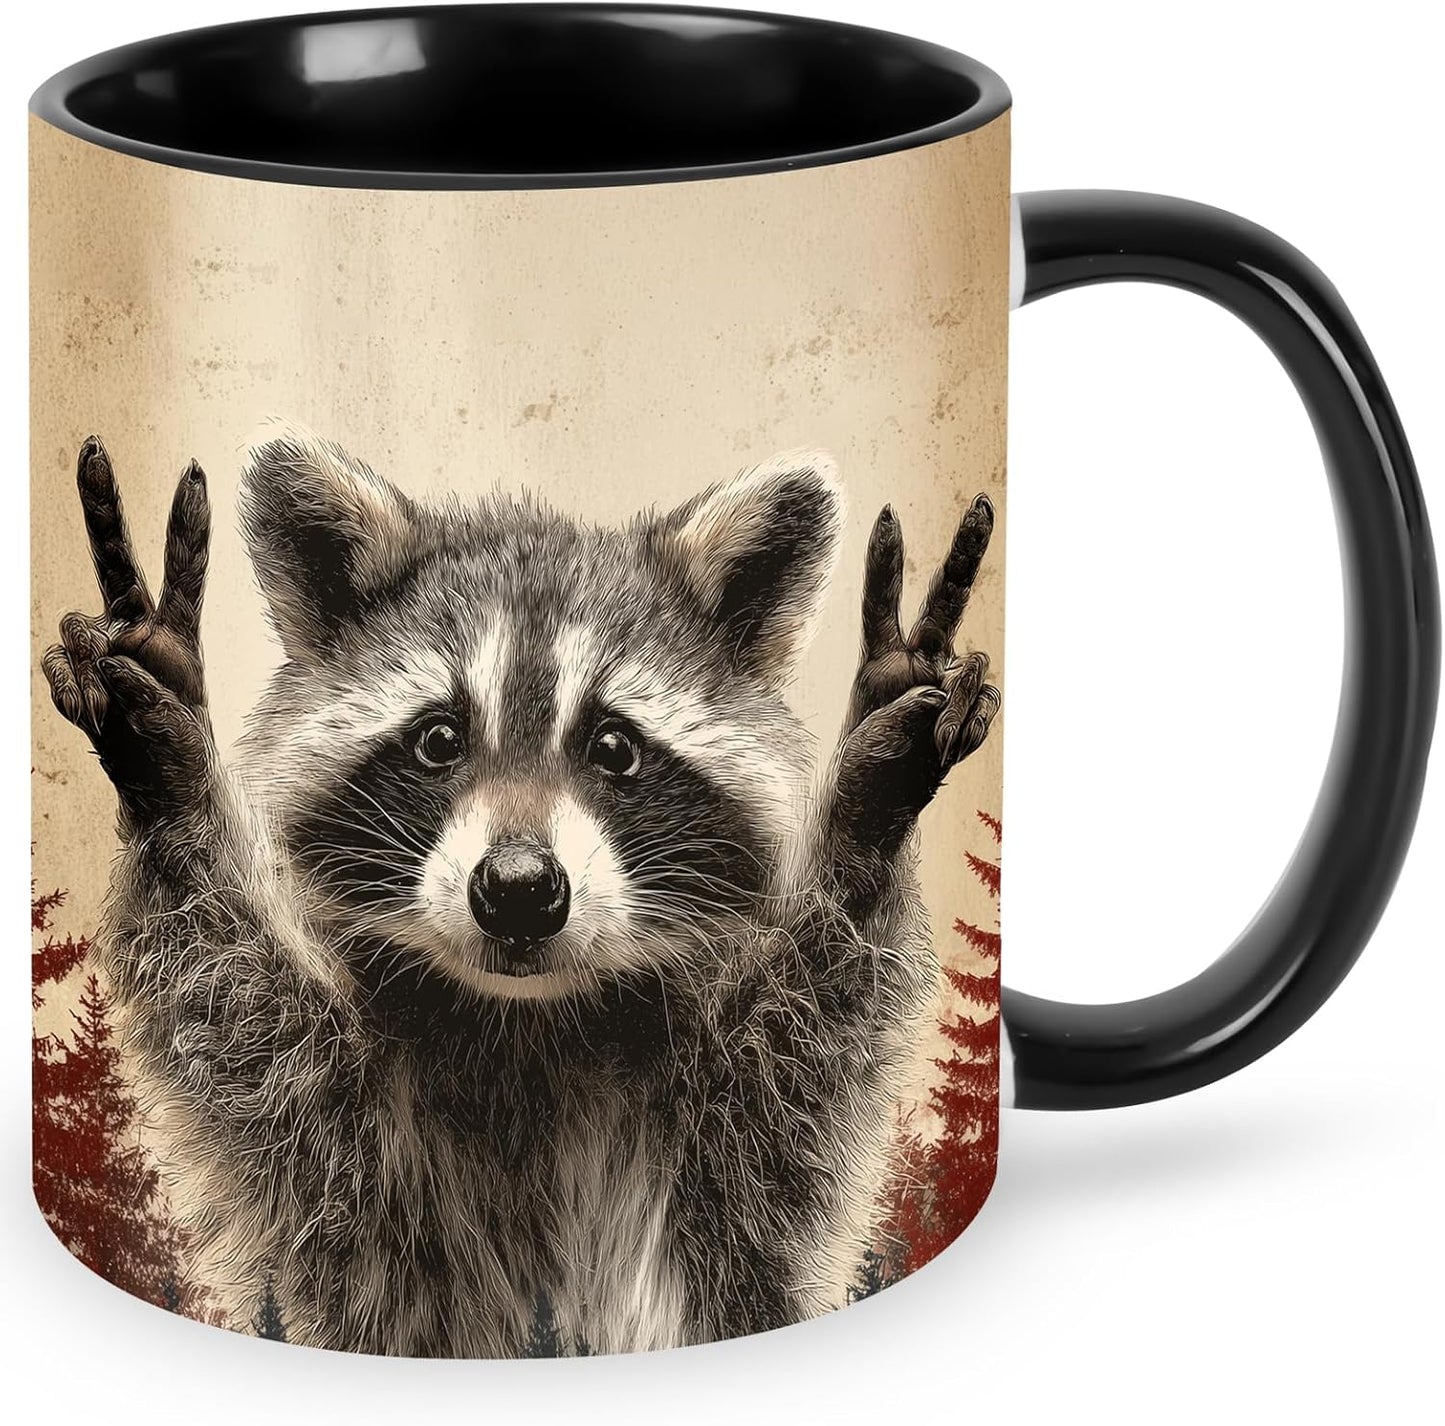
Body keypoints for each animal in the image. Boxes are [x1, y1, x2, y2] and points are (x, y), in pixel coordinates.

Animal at [42, 430, 999, 1356]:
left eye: (613, 746)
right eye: (438, 739)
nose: (517, 889)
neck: (528, 1021)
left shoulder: (724, 1173)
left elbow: (806, 1061)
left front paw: (868, 802)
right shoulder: (349, 1170)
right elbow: (244, 1041)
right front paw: (171, 772)